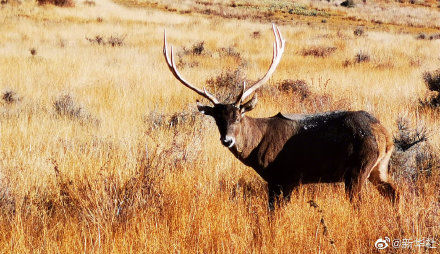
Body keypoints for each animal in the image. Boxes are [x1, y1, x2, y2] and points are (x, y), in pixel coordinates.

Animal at [162, 24, 398, 209]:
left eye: (238, 116)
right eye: (217, 118)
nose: (227, 140)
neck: (257, 147)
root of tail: (385, 135)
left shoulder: (285, 176)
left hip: (358, 168)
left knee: (361, 203)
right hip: (379, 167)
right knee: (394, 193)